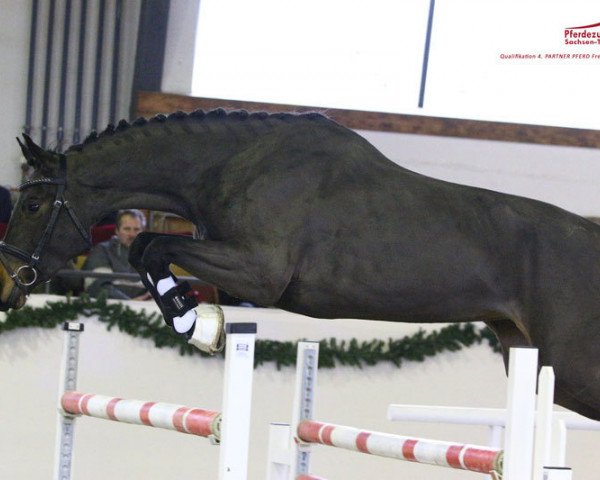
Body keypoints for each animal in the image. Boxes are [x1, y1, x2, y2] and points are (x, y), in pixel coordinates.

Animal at [1, 109, 600, 420]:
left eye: (32, 205)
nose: (8, 287)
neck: (233, 166)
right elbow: (145, 248)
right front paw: (196, 319)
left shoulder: (260, 274)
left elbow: (149, 246)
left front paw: (196, 321)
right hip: (526, 355)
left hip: (571, 368)